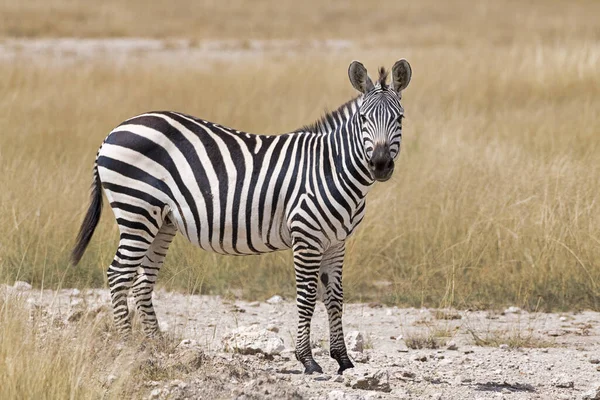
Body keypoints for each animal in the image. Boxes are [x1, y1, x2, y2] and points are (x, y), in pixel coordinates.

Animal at [69, 60, 408, 376]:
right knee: (119, 275)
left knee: (142, 281)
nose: (380, 165)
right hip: (136, 210)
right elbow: (308, 296)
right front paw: (308, 360)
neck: (329, 167)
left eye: (400, 118)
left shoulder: (336, 242)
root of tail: (114, 131)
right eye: (363, 119)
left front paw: (343, 360)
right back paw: (127, 347)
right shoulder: (306, 237)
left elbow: (335, 297)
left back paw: (155, 345)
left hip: (160, 221)